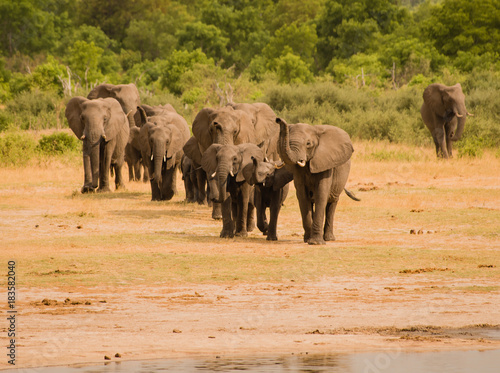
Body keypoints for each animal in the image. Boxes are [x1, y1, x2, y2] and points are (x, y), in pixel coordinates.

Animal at [278, 116, 356, 244]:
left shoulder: (326, 162)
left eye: (308, 144)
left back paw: (329, 238)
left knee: (332, 203)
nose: (278, 119)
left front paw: (315, 243)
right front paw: (308, 240)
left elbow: (321, 194)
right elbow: (302, 196)